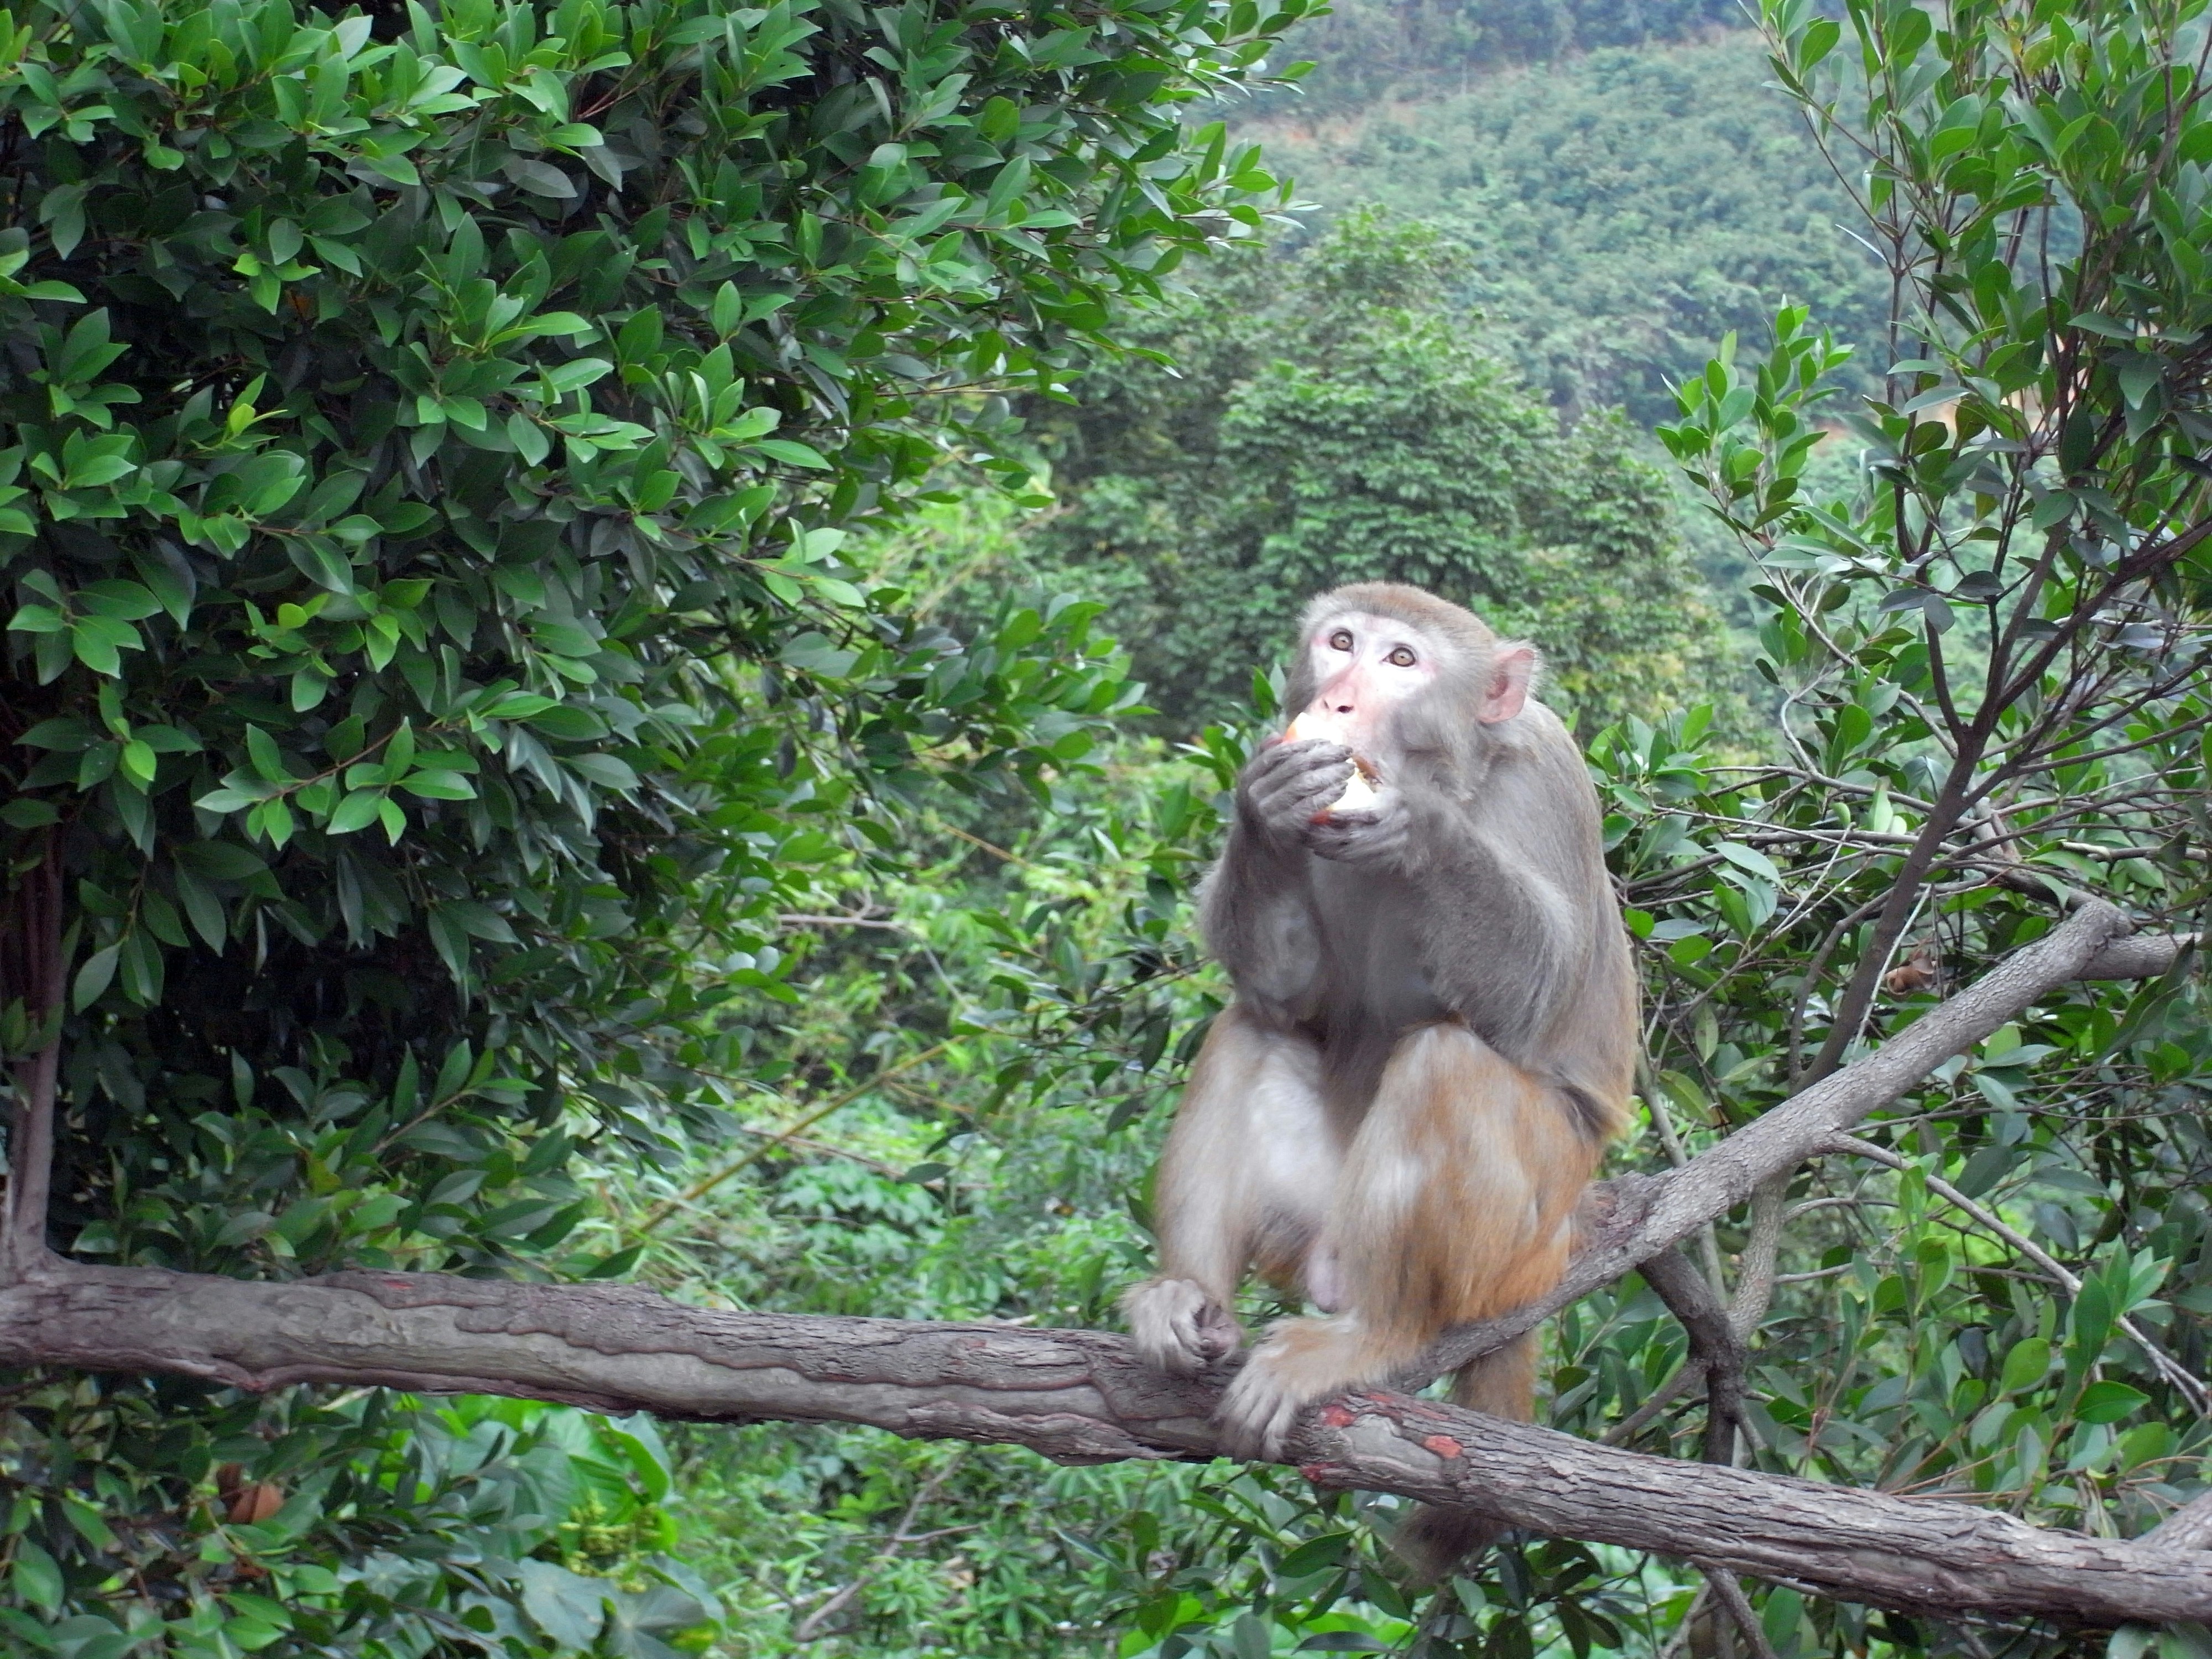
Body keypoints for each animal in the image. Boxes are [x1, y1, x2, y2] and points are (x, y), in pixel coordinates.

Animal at [1120, 582, 1637, 1576]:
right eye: (1341, 643)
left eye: (1402, 662)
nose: (1341, 700)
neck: (1456, 768)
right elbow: (1290, 996)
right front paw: (1263, 809)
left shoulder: (1550, 774)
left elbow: (1537, 997)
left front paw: (1423, 831)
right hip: (1312, 1225)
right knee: (1252, 1030)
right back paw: (1189, 1298)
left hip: (1513, 1244)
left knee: (1448, 1062)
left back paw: (1374, 1336)